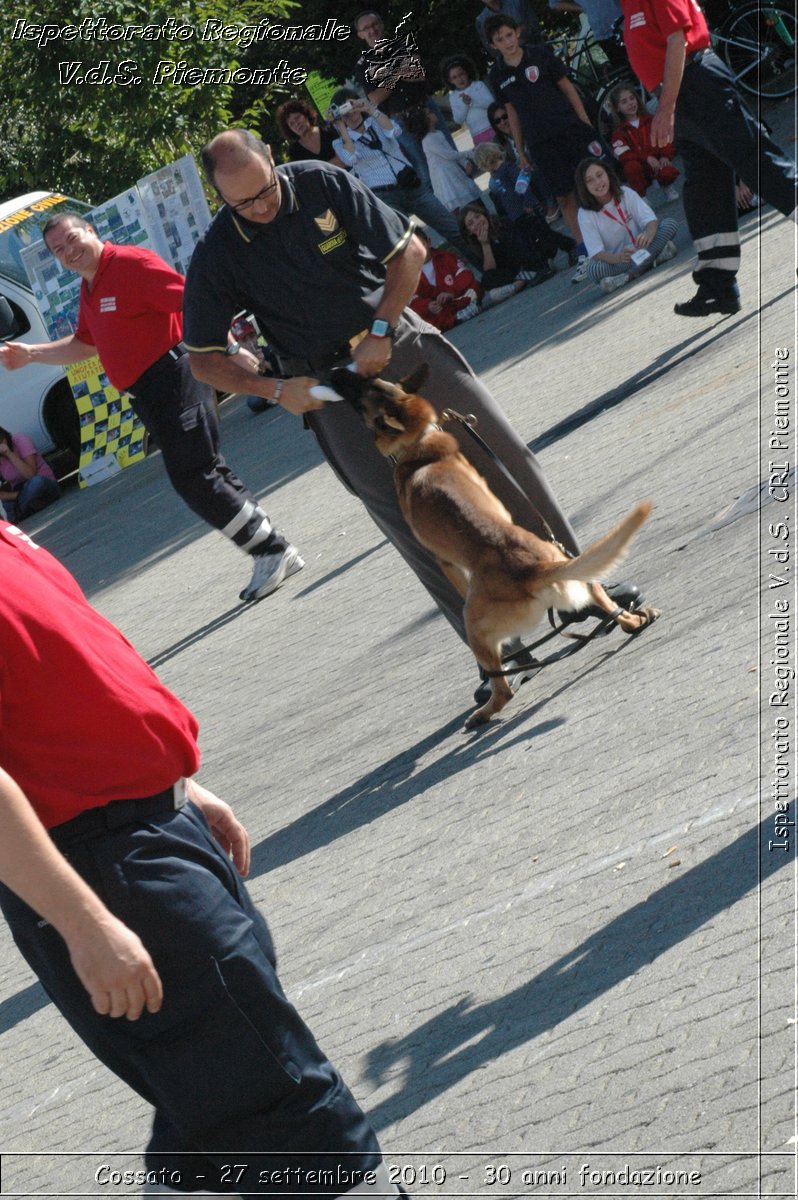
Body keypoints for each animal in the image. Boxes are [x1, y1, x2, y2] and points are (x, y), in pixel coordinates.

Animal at [331, 360, 657, 724]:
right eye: (364, 381)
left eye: (359, 395)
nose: (334, 370)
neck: (421, 444)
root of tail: (536, 569)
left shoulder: (444, 563)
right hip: (581, 575)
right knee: (611, 608)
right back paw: (633, 619)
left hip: (475, 625)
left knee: (502, 687)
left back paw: (485, 710)